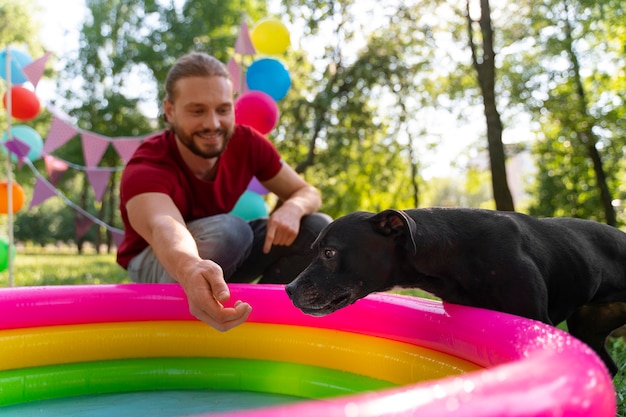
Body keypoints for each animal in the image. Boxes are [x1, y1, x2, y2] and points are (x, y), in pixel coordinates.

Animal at [286, 207, 624, 374]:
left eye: (329, 253)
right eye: (314, 250)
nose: (288, 288)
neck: (455, 250)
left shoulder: (536, 320)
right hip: (589, 327)